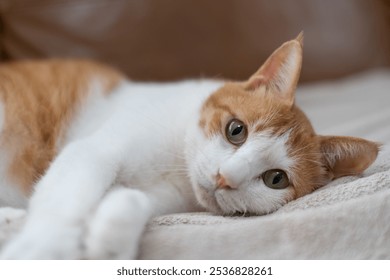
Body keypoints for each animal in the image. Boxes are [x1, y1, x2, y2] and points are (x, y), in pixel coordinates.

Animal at [0, 34, 380, 260]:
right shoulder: (92, 152)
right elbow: (66, 202)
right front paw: (41, 249)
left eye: (276, 179)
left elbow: (129, 199)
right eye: (236, 130)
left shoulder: (159, 196)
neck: (177, 164)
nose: (225, 177)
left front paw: (109, 242)